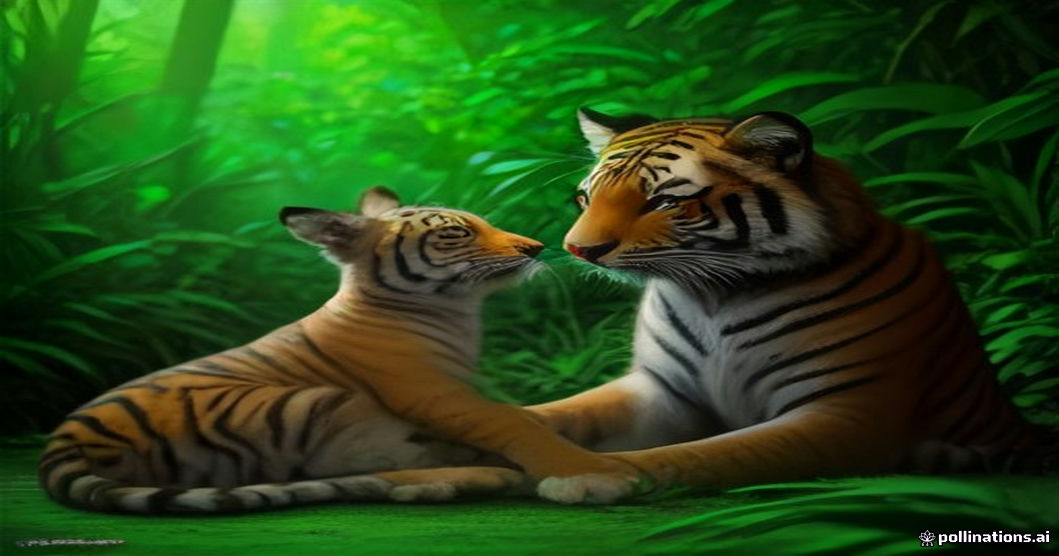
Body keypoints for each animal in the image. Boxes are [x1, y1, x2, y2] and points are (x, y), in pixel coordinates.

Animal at [38, 186, 640, 513]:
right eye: (456, 233)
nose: (535, 247)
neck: (453, 311)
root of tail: (63, 443)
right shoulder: (435, 395)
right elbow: (513, 423)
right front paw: (594, 473)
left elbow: (528, 415)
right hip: (316, 404)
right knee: (367, 470)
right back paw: (474, 477)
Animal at [526, 108, 1055, 504]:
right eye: (585, 198)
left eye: (662, 203)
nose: (578, 249)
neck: (712, 296)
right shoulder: (665, 391)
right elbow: (563, 413)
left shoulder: (846, 414)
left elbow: (705, 454)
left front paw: (589, 475)